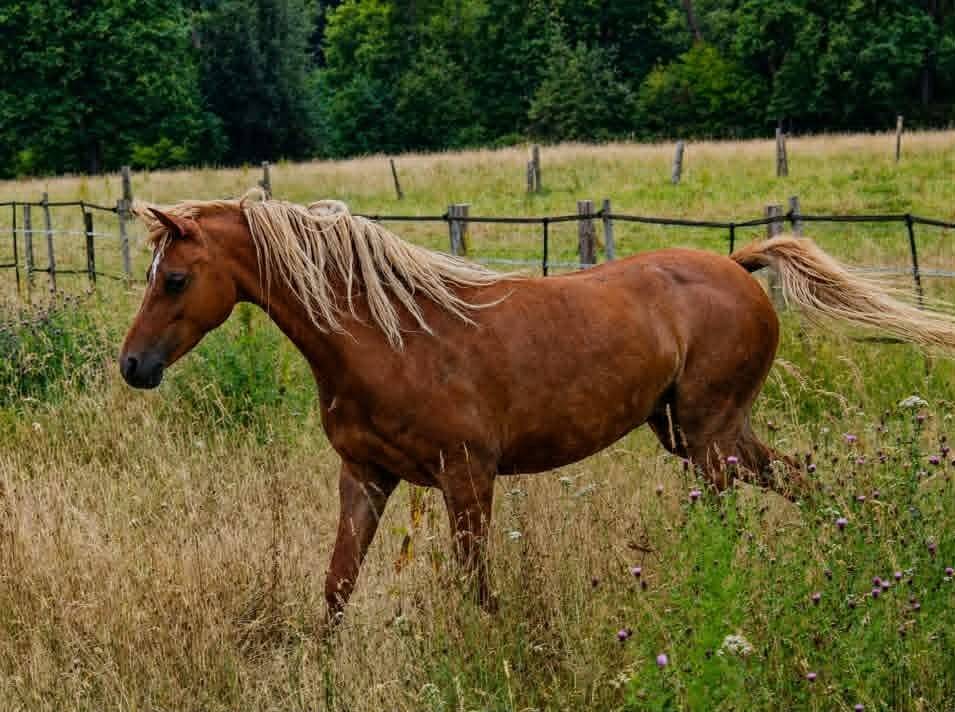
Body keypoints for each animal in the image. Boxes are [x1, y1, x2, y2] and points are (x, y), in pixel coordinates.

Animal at [119, 193, 955, 618]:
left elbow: (476, 589)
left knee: (733, 513)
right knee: (798, 479)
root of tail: (736, 263)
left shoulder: (466, 476)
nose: (133, 367)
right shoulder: (365, 477)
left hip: (708, 436)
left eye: (174, 279)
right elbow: (335, 589)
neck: (387, 334)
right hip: (701, 431)